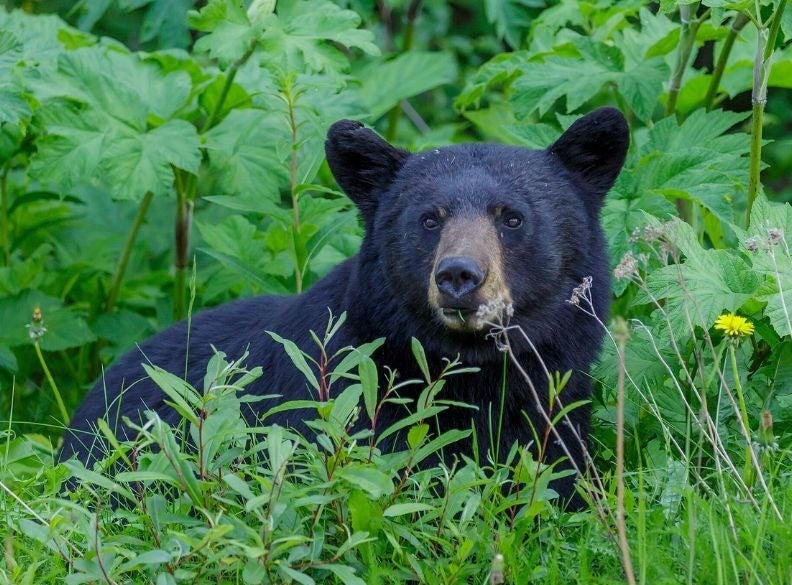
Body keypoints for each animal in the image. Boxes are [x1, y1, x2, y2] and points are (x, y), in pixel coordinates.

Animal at [60, 107, 629, 507]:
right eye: (429, 219)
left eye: (511, 217)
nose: (459, 276)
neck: (473, 372)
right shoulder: (345, 403)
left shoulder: (557, 406)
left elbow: (560, 479)